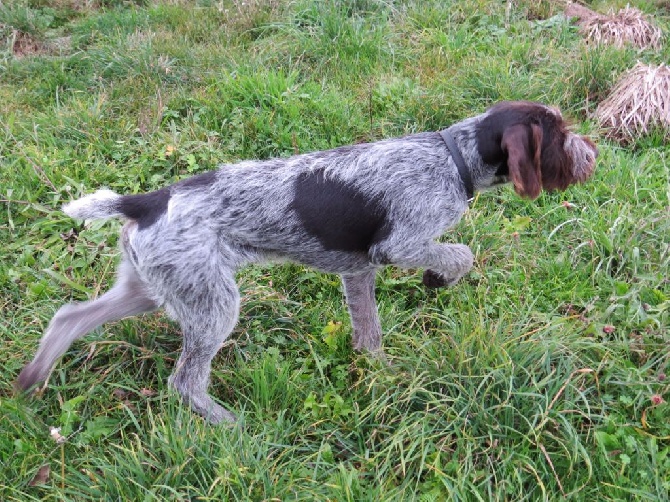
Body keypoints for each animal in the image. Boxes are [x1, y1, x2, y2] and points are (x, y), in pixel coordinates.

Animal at [18, 102, 600, 424]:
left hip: (152, 288)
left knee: (69, 316)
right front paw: (439, 277)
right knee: (184, 382)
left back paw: (31, 378)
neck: (451, 157)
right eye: (561, 136)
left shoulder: (358, 270)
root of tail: (146, 201)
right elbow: (461, 253)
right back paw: (231, 425)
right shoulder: (399, 245)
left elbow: (369, 333)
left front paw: (382, 374)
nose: (593, 153)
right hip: (211, 304)